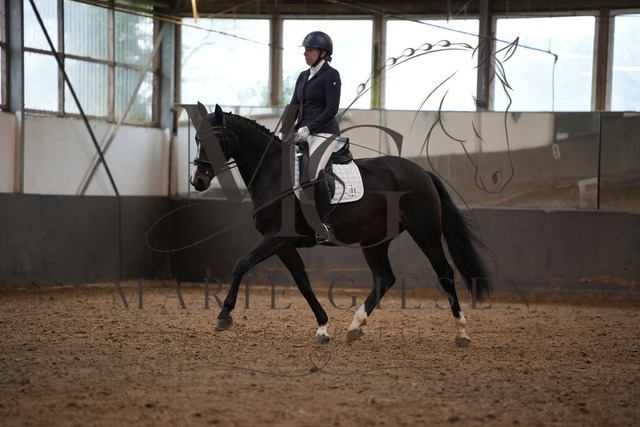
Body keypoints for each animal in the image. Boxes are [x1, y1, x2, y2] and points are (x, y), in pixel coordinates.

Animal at [188, 102, 491, 347]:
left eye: (217, 139)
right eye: (197, 138)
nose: (198, 181)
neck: (274, 174)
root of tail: (421, 171)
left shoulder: (277, 239)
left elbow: (240, 265)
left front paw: (224, 315)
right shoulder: (283, 245)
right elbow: (302, 282)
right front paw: (323, 327)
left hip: (424, 231)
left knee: (444, 273)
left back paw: (461, 333)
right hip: (374, 240)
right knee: (385, 277)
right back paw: (355, 327)